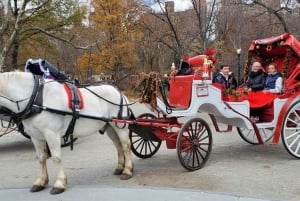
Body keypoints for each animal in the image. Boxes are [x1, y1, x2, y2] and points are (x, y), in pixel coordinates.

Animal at [0, 71, 132, 194]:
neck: (37, 98)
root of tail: (119, 92)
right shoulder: (35, 136)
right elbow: (41, 158)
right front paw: (41, 182)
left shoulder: (51, 134)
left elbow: (56, 158)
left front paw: (59, 184)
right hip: (110, 127)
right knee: (118, 146)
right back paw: (120, 168)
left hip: (120, 126)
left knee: (126, 146)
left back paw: (127, 170)